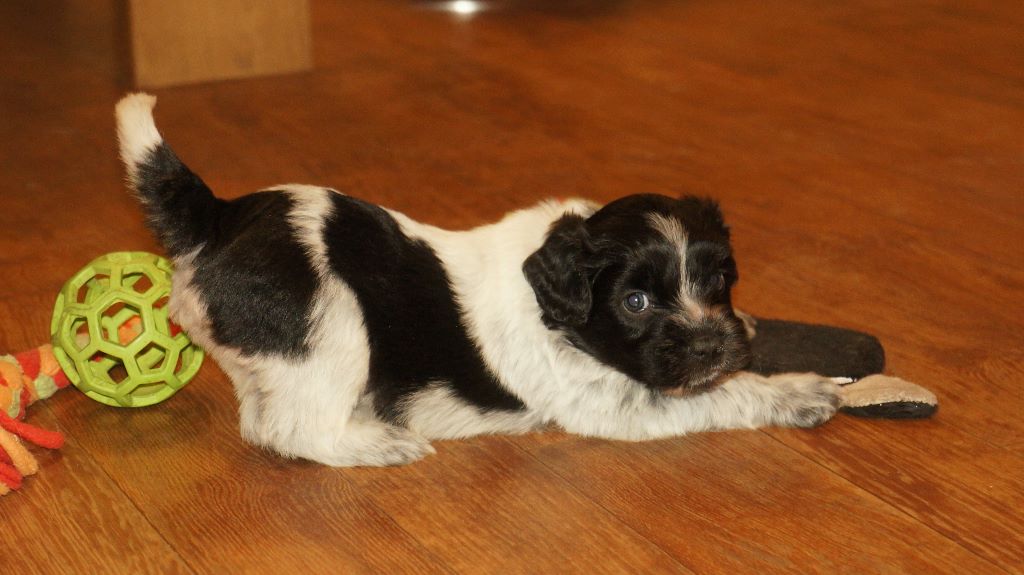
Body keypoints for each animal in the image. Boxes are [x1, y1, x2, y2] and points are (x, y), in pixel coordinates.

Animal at [115, 94, 839, 467]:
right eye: (634, 301)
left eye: (720, 282)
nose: (715, 344)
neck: (557, 308)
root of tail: (216, 216)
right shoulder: (614, 403)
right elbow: (724, 395)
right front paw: (798, 391)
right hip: (333, 327)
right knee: (299, 428)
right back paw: (378, 443)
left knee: (264, 421)